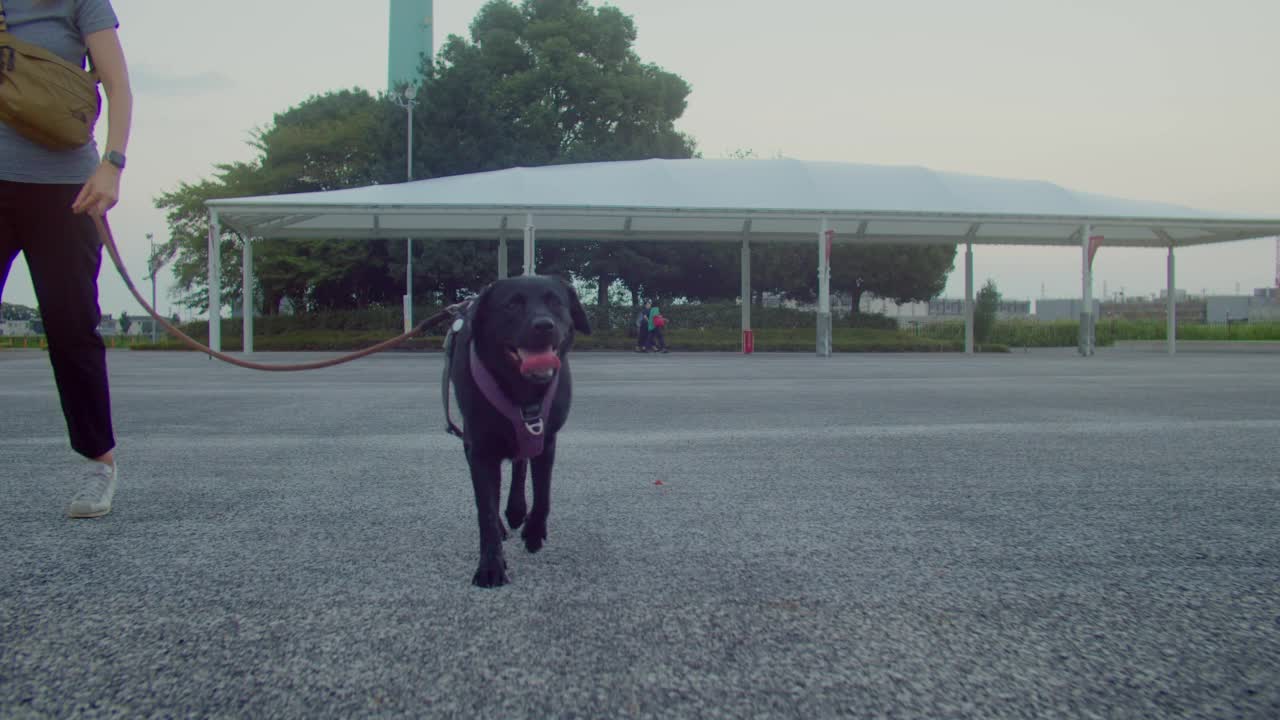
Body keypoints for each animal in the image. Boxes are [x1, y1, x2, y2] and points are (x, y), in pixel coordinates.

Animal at [445, 272, 588, 584]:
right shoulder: (480, 448)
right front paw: (490, 566)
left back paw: (516, 510)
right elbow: (485, 509)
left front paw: (534, 532)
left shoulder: (547, 439)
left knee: (521, 465)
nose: (544, 325)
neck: (523, 390)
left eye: (555, 302)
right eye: (512, 305)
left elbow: (543, 493)